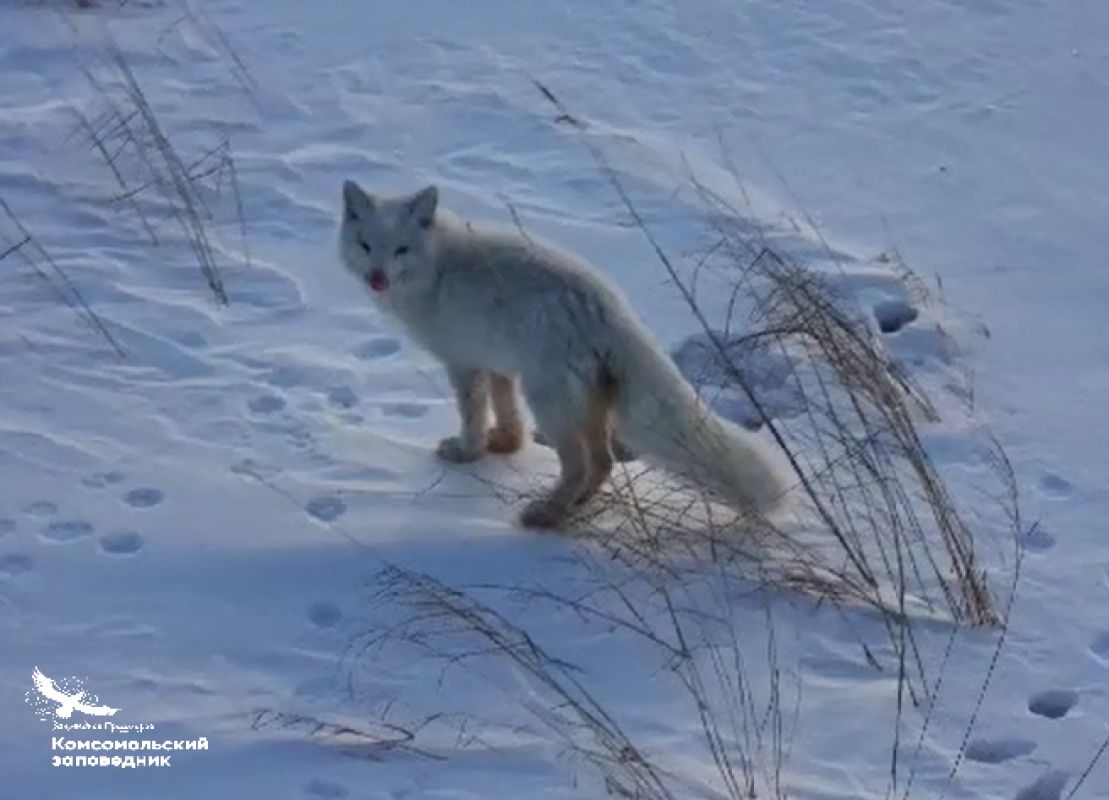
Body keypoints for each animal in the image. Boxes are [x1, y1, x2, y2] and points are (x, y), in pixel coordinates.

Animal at [337, 181, 789, 530]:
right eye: (365, 245)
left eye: (401, 249)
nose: (376, 278)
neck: (437, 268)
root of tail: (609, 309)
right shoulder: (499, 364)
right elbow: (506, 411)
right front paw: (506, 443)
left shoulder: (465, 363)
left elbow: (473, 414)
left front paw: (468, 452)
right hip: (585, 404)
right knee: (603, 463)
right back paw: (578, 504)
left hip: (551, 403)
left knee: (579, 466)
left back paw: (547, 516)